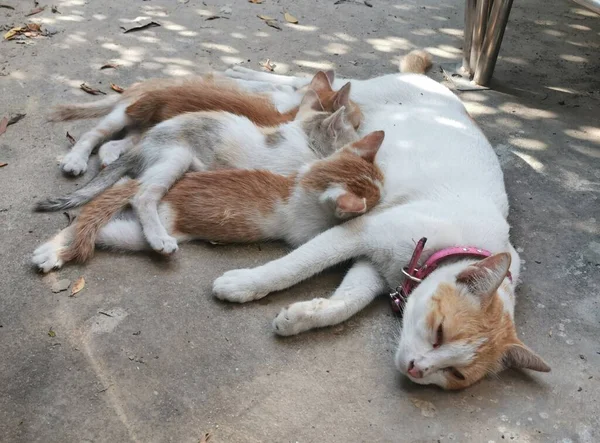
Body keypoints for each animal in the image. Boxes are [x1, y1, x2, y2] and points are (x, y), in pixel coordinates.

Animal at [31, 130, 384, 272]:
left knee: (91, 225)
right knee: (134, 205)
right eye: (378, 197)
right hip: (169, 176)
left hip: (132, 232)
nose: (384, 199)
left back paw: (49, 252)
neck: (301, 183)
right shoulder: (304, 231)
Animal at [36, 88, 360, 255]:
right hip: (176, 156)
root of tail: (145, 143)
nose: (363, 140)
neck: (304, 139)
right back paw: (159, 238)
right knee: (142, 195)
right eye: (353, 136)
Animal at [216, 50, 548, 390]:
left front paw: (301, 316)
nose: (417, 369)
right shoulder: (360, 231)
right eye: (439, 332)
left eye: (455, 373)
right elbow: (295, 266)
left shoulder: (375, 266)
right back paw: (239, 74)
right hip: (360, 91)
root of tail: (428, 81)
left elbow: (348, 302)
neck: (451, 246)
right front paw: (244, 284)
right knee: (303, 81)